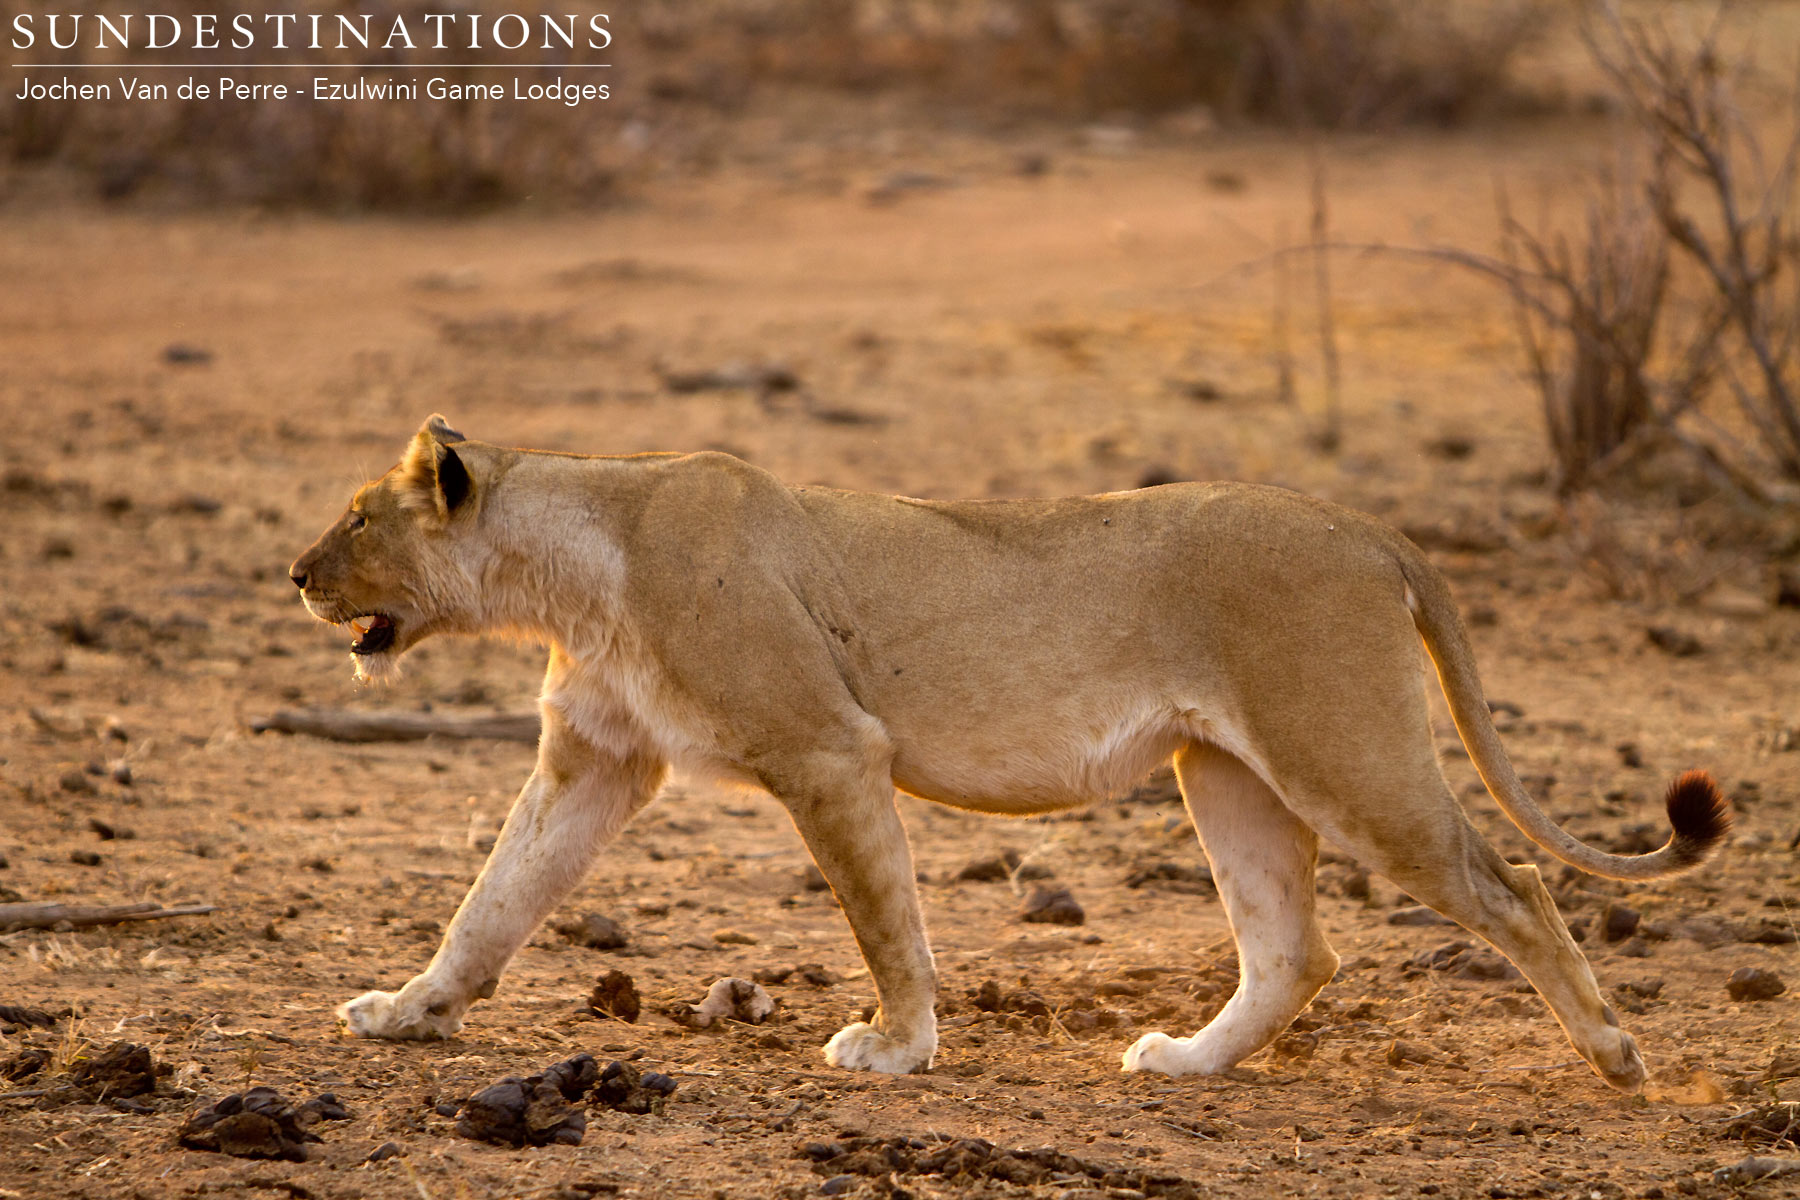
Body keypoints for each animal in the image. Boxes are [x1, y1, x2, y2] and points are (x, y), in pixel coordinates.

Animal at [288, 415, 1729, 1091]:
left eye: (357, 517)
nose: (294, 574)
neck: (579, 566)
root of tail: (1370, 528)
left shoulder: (829, 748)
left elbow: (885, 917)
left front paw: (894, 1045)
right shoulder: (595, 758)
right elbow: (490, 904)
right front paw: (407, 1012)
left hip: (1345, 751)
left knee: (1514, 887)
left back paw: (1617, 1057)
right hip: (1228, 773)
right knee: (1293, 949)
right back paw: (1185, 1063)